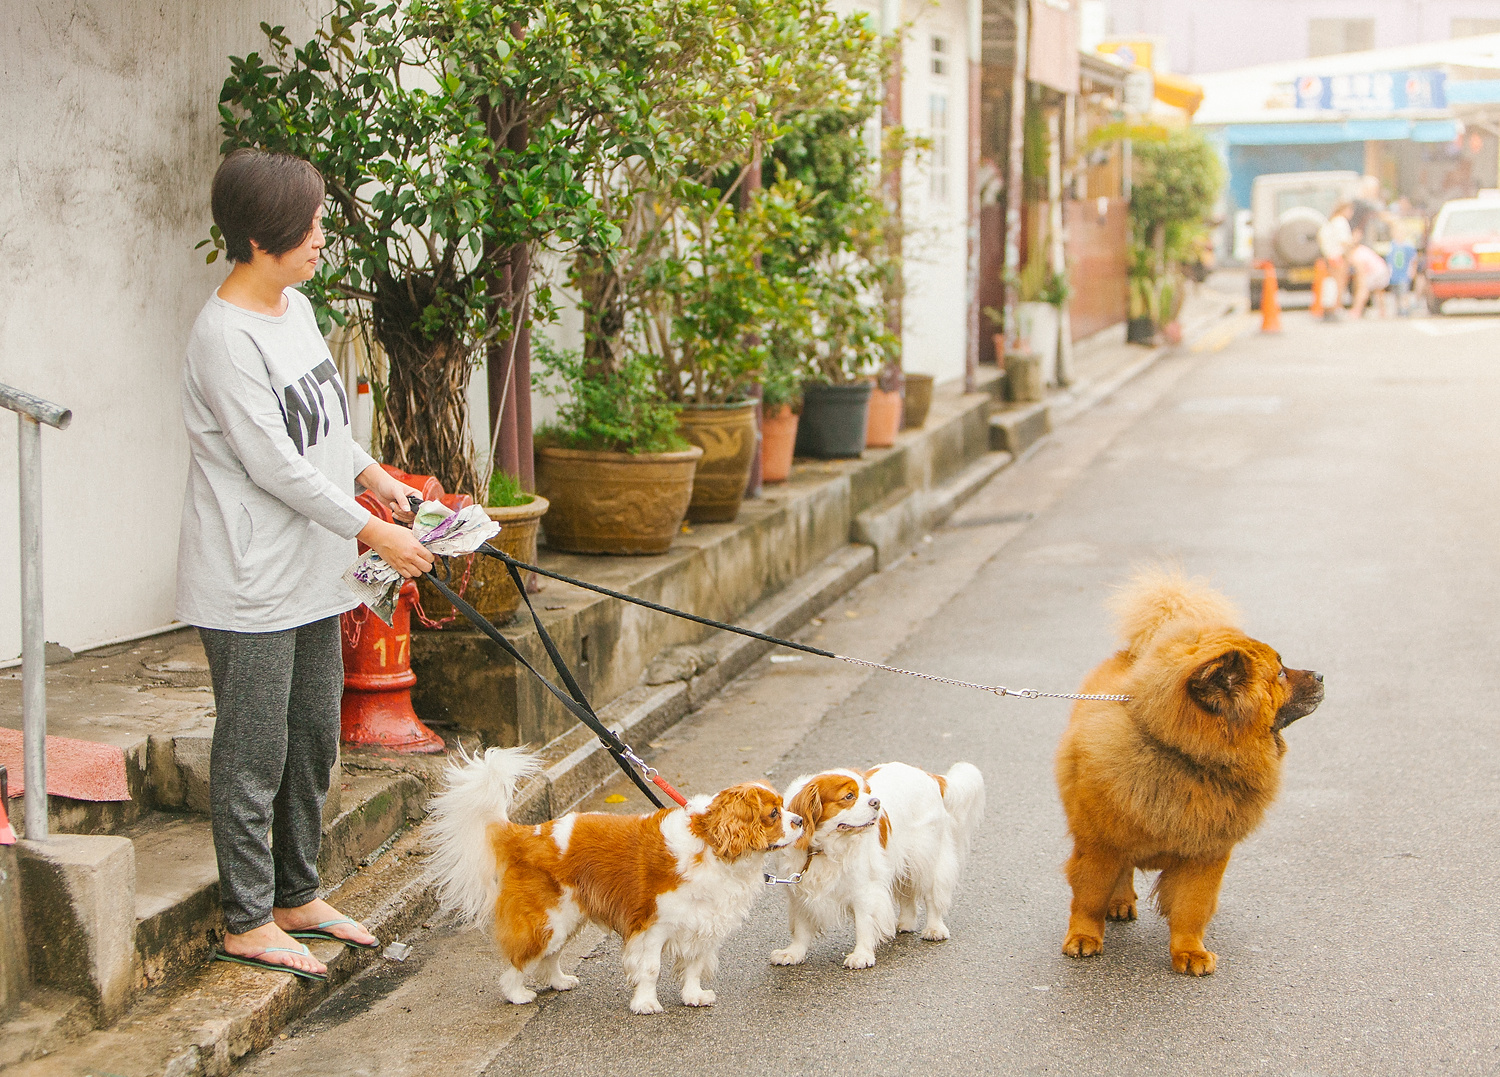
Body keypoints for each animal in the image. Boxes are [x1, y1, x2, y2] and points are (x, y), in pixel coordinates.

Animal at [429, 750, 804, 1014]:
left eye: (785, 807)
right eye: (773, 814)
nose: (800, 820)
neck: (712, 846)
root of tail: (525, 834)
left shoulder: (703, 924)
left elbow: (694, 965)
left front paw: (693, 995)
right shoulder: (652, 927)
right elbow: (650, 968)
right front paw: (645, 1004)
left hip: (567, 919)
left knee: (551, 956)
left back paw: (558, 982)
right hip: (548, 919)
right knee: (520, 960)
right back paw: (517, 993)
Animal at [768, 765, 990, 972]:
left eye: (868, 792)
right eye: (849, 796)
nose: (876, 802)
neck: (823, 848)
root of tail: (928, 775)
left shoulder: (864, 890)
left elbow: (864, 924)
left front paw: (861, 955)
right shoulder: (799, 890)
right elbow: (800, 927)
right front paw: (793, 952)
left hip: (926, 858)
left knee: (931, 894)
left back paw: (935, 929)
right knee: (906, 892)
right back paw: (905, 923)